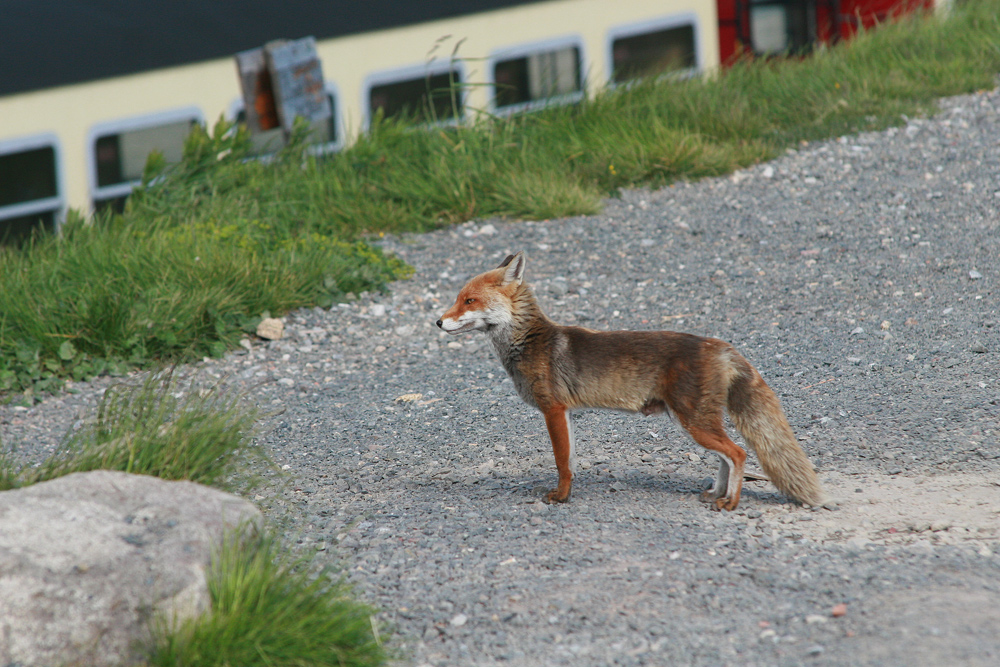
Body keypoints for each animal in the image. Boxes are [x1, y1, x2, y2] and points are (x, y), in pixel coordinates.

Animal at [440, 252, 828, 512]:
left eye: (469, 300)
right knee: (727, 457)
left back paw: (730, 502)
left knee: (738, 452)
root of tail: (718, 344)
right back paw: (717, 494)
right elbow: (571, 461)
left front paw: (561, 498)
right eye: (457, 299)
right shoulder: (566, 413)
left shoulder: (553, 409)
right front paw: (569, 492)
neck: (531, 342)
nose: (438, 322)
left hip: (694, 422)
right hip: (696, 423)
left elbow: (561, 462)